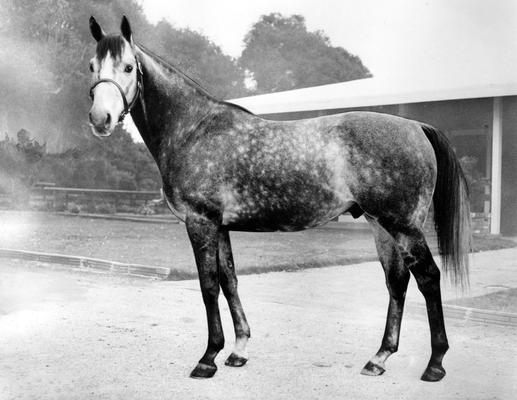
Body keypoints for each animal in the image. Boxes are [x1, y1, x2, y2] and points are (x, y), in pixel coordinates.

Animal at [86, 17, 470, 382]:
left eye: (128, 67)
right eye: (92, 65)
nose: (100, 119)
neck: (193, 130)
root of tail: (416, 126)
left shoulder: (201, 222)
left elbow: (209, 286)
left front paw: (208, 358)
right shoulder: (220, 226)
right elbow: (229, 281)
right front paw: (238, 351)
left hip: (403, 225)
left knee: (428, 277)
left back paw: (435, 364)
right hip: (381, 225)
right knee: (397, 282)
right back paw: (378, 359)